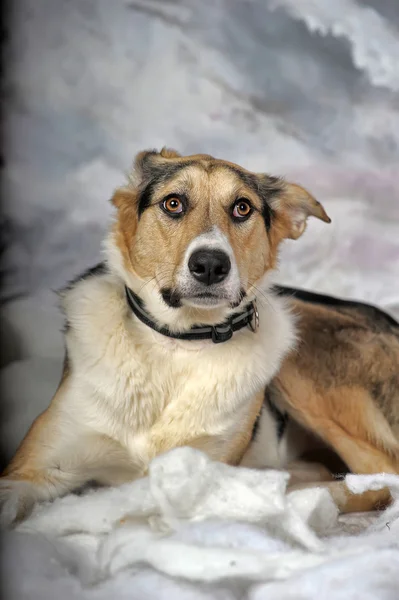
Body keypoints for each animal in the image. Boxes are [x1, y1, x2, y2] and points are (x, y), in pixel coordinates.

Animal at [1, 149, 398, 524]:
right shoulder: (32, 469)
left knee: (379, 478)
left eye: (242, 208)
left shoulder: (201, 470)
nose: (210, 265)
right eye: (173, 203)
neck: (175, 346)